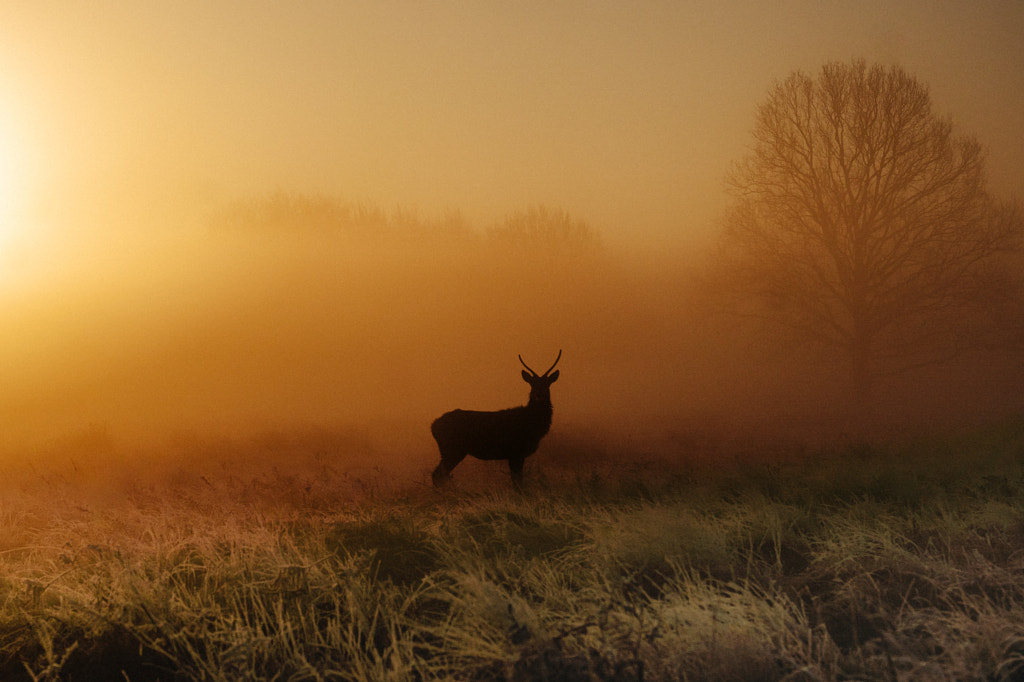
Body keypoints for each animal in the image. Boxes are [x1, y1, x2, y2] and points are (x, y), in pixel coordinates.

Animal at [430, 348, 565, 485]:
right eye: (532, 384)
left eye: (547, 384)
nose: (539, 395)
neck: (533, 426)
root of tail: (433, 426)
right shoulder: (516, 452)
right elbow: (518, 482)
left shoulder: (516, 454)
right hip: (452, 449)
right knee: (437, 474)